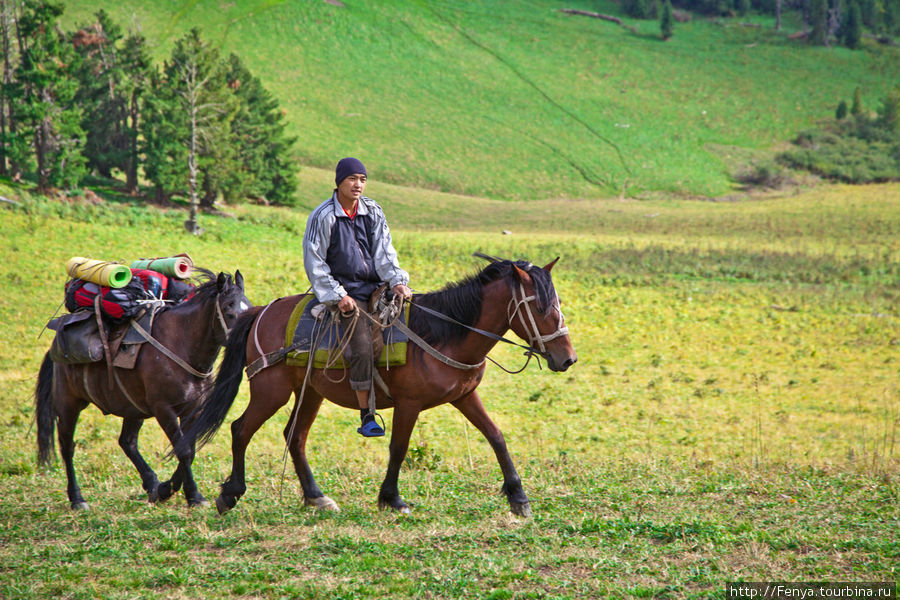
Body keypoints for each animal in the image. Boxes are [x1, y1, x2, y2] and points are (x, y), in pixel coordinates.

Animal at [36, 272, 250, 510]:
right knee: (67, 446)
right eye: (230, 312)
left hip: (132, 407)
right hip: (68, 404)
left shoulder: (192, 409)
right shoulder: (163, 409)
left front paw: (166, 489)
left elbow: (189, 448)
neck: (181, 345)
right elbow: (184, 451)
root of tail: (54, 349)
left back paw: (152, 484)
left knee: (127, 442)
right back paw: (77, 498)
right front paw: (194, 496)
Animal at [180, 255, 580, 512]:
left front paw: (518, 496)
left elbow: (496, 436)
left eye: (558, 303)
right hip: (270, 390)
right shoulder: (409, 404)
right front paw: (391, 498)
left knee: (295, 436)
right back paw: (231, 493)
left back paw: (315, 496)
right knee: (240, 429)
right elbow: (398, 448)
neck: (444, 333)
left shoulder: (465, 396)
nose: (567, 359)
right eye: (541, 308)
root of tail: (259, 311)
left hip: (310, 392)